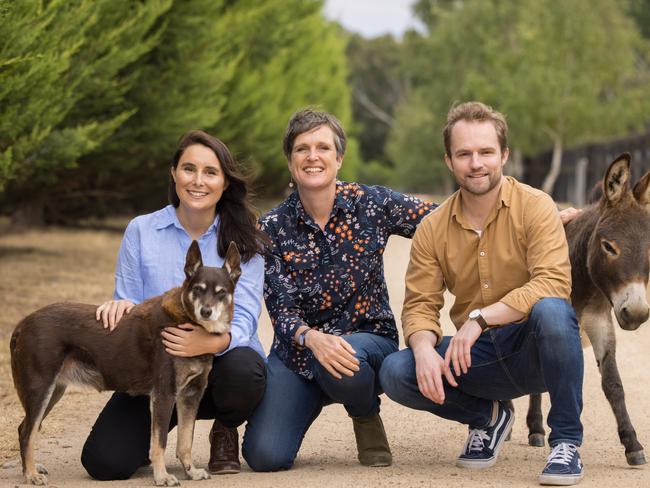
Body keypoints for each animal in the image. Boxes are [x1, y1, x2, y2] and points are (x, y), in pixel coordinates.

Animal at [10, 239, 240, 484]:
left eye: (221, 292)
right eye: (198, 289)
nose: (206, 312)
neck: (188, 321)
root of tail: (23, 324)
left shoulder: (191, 395)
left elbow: (185, 441)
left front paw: (191, 471)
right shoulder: (164, 395)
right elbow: (160, 443)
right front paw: (162, 476)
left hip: (53, 391)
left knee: (25, 428)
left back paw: (31, 469)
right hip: (41, 389)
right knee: (27, 432)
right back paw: (31, 474)